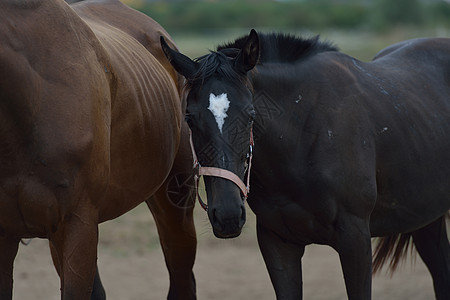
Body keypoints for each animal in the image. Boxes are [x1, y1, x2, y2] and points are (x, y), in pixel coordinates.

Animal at [161, 29, 450, 298]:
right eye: (189, 118)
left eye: (251, 114)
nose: (228, 215)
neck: (305, 134)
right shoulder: (277, 243)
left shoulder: (356, 238)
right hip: (425, 218)